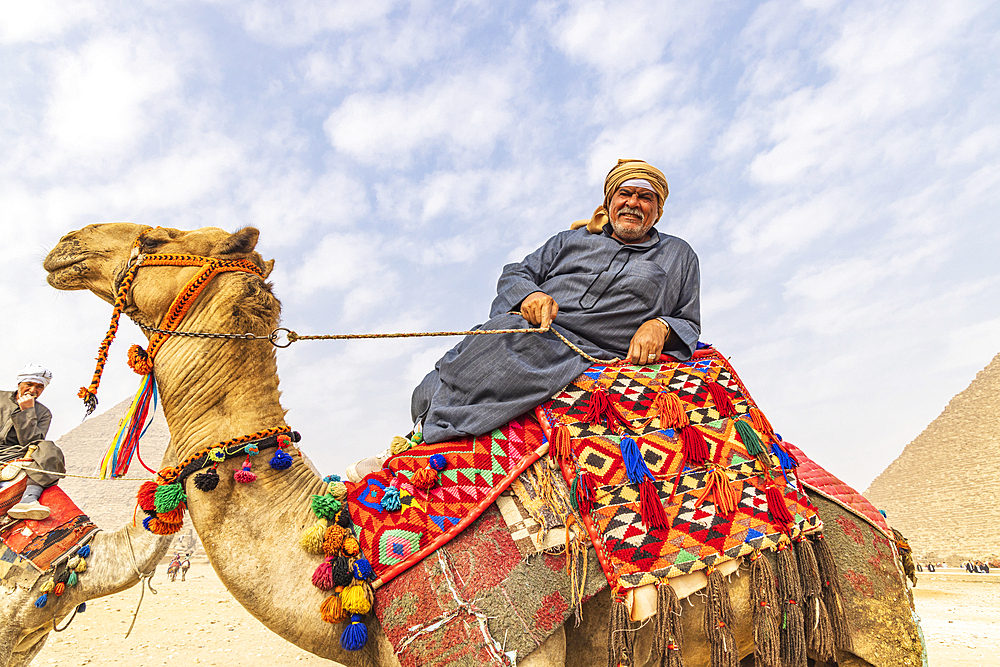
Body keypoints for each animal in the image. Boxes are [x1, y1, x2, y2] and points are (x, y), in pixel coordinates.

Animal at [37, 226, 928, 667]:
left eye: (159, 232)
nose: (69, 241)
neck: (358, 555)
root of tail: (882, 527)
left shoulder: (503, 645)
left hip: (872, 620)